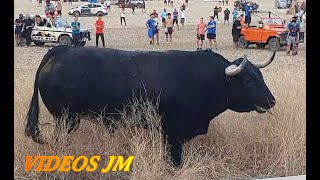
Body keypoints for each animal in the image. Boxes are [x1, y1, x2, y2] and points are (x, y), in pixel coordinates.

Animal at [25, 46, 276, 166]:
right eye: (248, 80)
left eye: (260, 75)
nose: (272, 100)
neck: (204, 79)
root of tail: (61, 50)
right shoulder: (172, 134)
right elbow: (174, 160)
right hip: (66, 120)